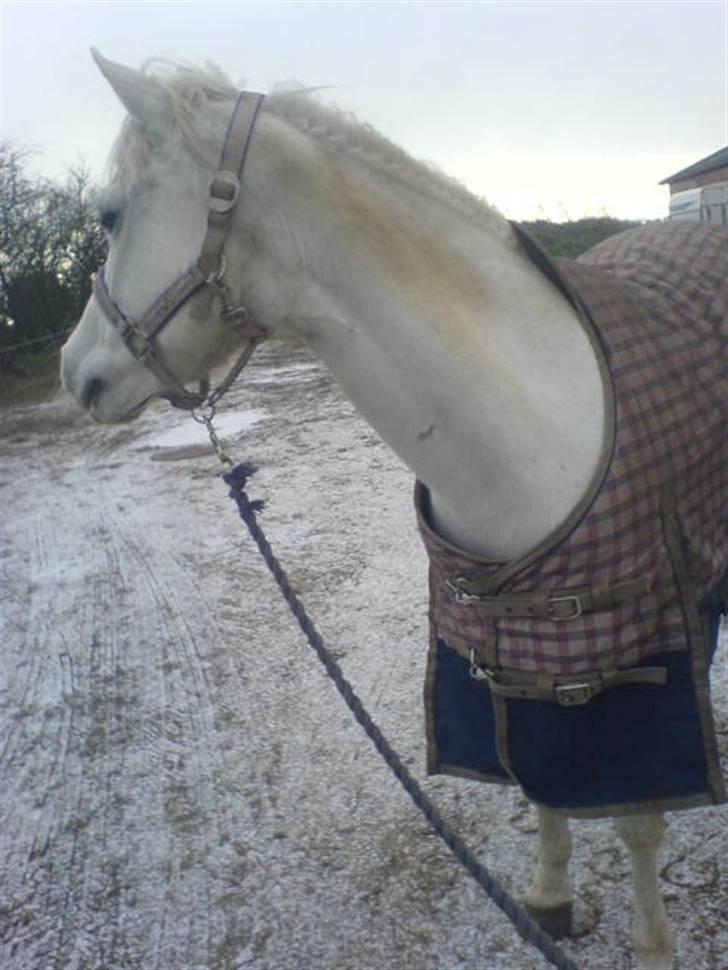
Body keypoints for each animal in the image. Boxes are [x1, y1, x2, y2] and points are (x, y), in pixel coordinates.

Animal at [61, 51, 727, 970]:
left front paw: (652, 945)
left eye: (111, 213)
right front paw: (550, 900)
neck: (531, 418)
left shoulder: (638, 663)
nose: (72, 371)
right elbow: (542, 782)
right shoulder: (512, 650)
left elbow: (636, 823)